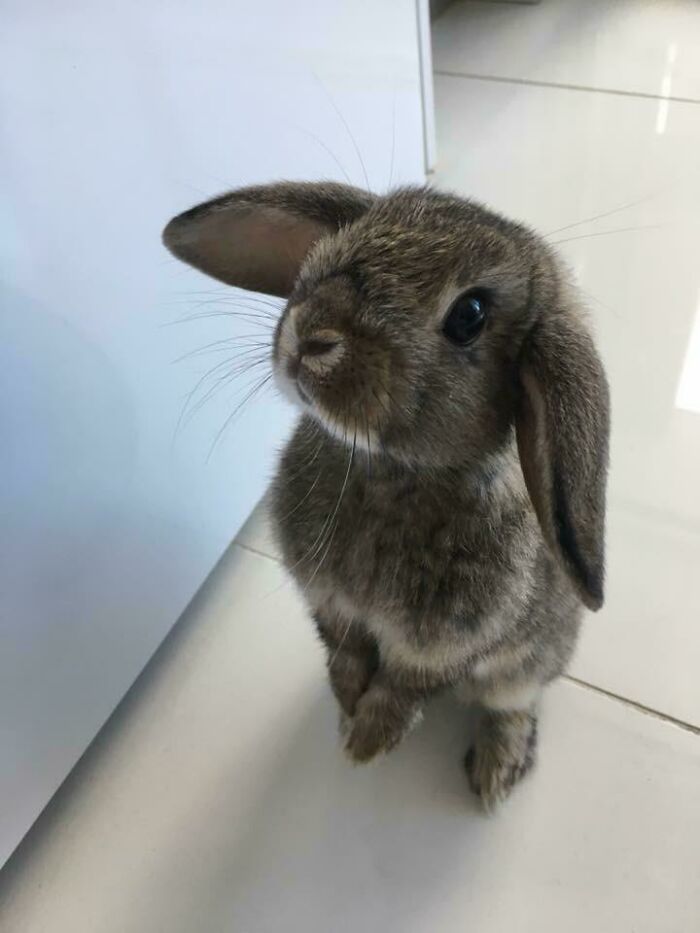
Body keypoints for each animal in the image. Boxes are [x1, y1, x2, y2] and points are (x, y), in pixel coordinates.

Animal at [163, 181, 610, 807]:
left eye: (470, 314)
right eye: (345, 240)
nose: (313, 335)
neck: (387, 473)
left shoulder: (438, 647)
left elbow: (402, 688)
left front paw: (366, 742)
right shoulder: (329, 603)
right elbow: (344, 650)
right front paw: (347, 704)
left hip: (526, 664)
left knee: (512, 705)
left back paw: (494, 774)